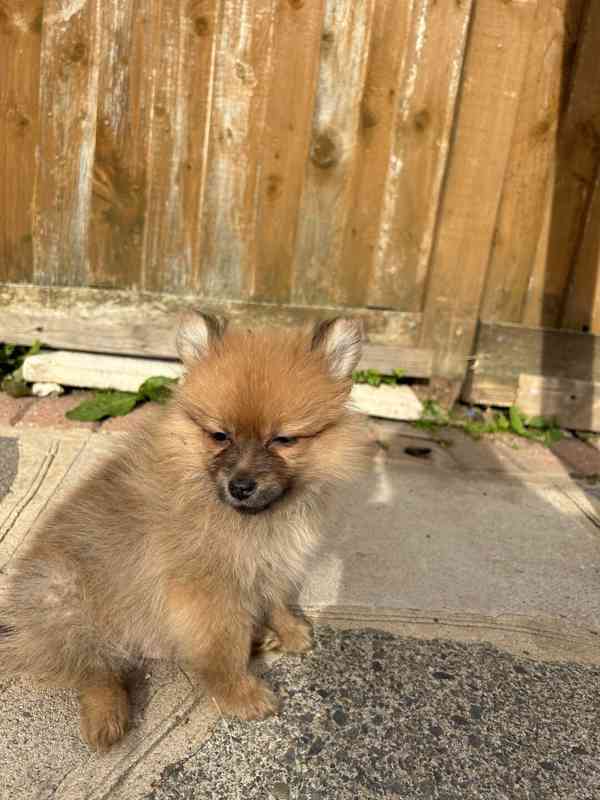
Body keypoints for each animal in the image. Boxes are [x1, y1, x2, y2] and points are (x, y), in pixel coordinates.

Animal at [0, 312, 368, 752]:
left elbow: (276, 599)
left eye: (283, 440)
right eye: (219, 435)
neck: (253, 518)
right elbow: (223, 647)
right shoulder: (206, 589)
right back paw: (107, 715)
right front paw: (240, 695)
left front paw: (290, 630)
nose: (240, 486)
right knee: (94, 669)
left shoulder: (272, 563)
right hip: (65, 598)